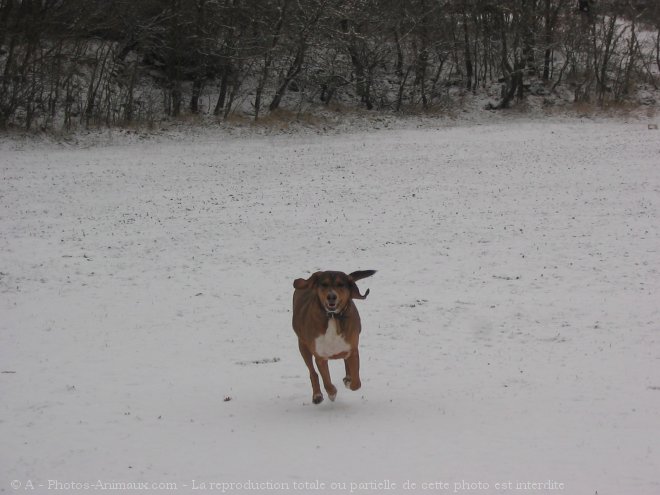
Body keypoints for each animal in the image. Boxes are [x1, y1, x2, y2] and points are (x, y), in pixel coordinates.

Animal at [292, 270, 376, 404]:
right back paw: (317, 395)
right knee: (312, 372)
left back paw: (347, 377)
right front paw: (332, 393)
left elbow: (357, 383)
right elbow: (326, 381)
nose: (331, 296)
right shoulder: (320, 357)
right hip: (303, 347)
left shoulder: (352, 350)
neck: (332, 317)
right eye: (324, 284)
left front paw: (349, 382)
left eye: (340, 284)